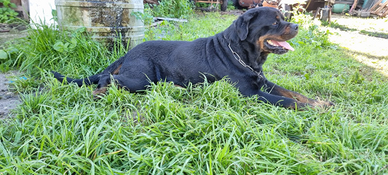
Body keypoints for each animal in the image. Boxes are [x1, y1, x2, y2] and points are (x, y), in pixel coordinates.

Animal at [53, 7, 334, 110]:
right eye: (275, 22)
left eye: (284, 18)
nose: (296, 26)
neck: (246, 56)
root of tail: (129, 51)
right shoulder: (250, 93)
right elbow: (287, 101)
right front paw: (315, 108)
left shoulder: (262, 82)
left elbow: (292, 93)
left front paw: (320, 102)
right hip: (140, 78)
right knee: (107, 78)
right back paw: (99, 93)